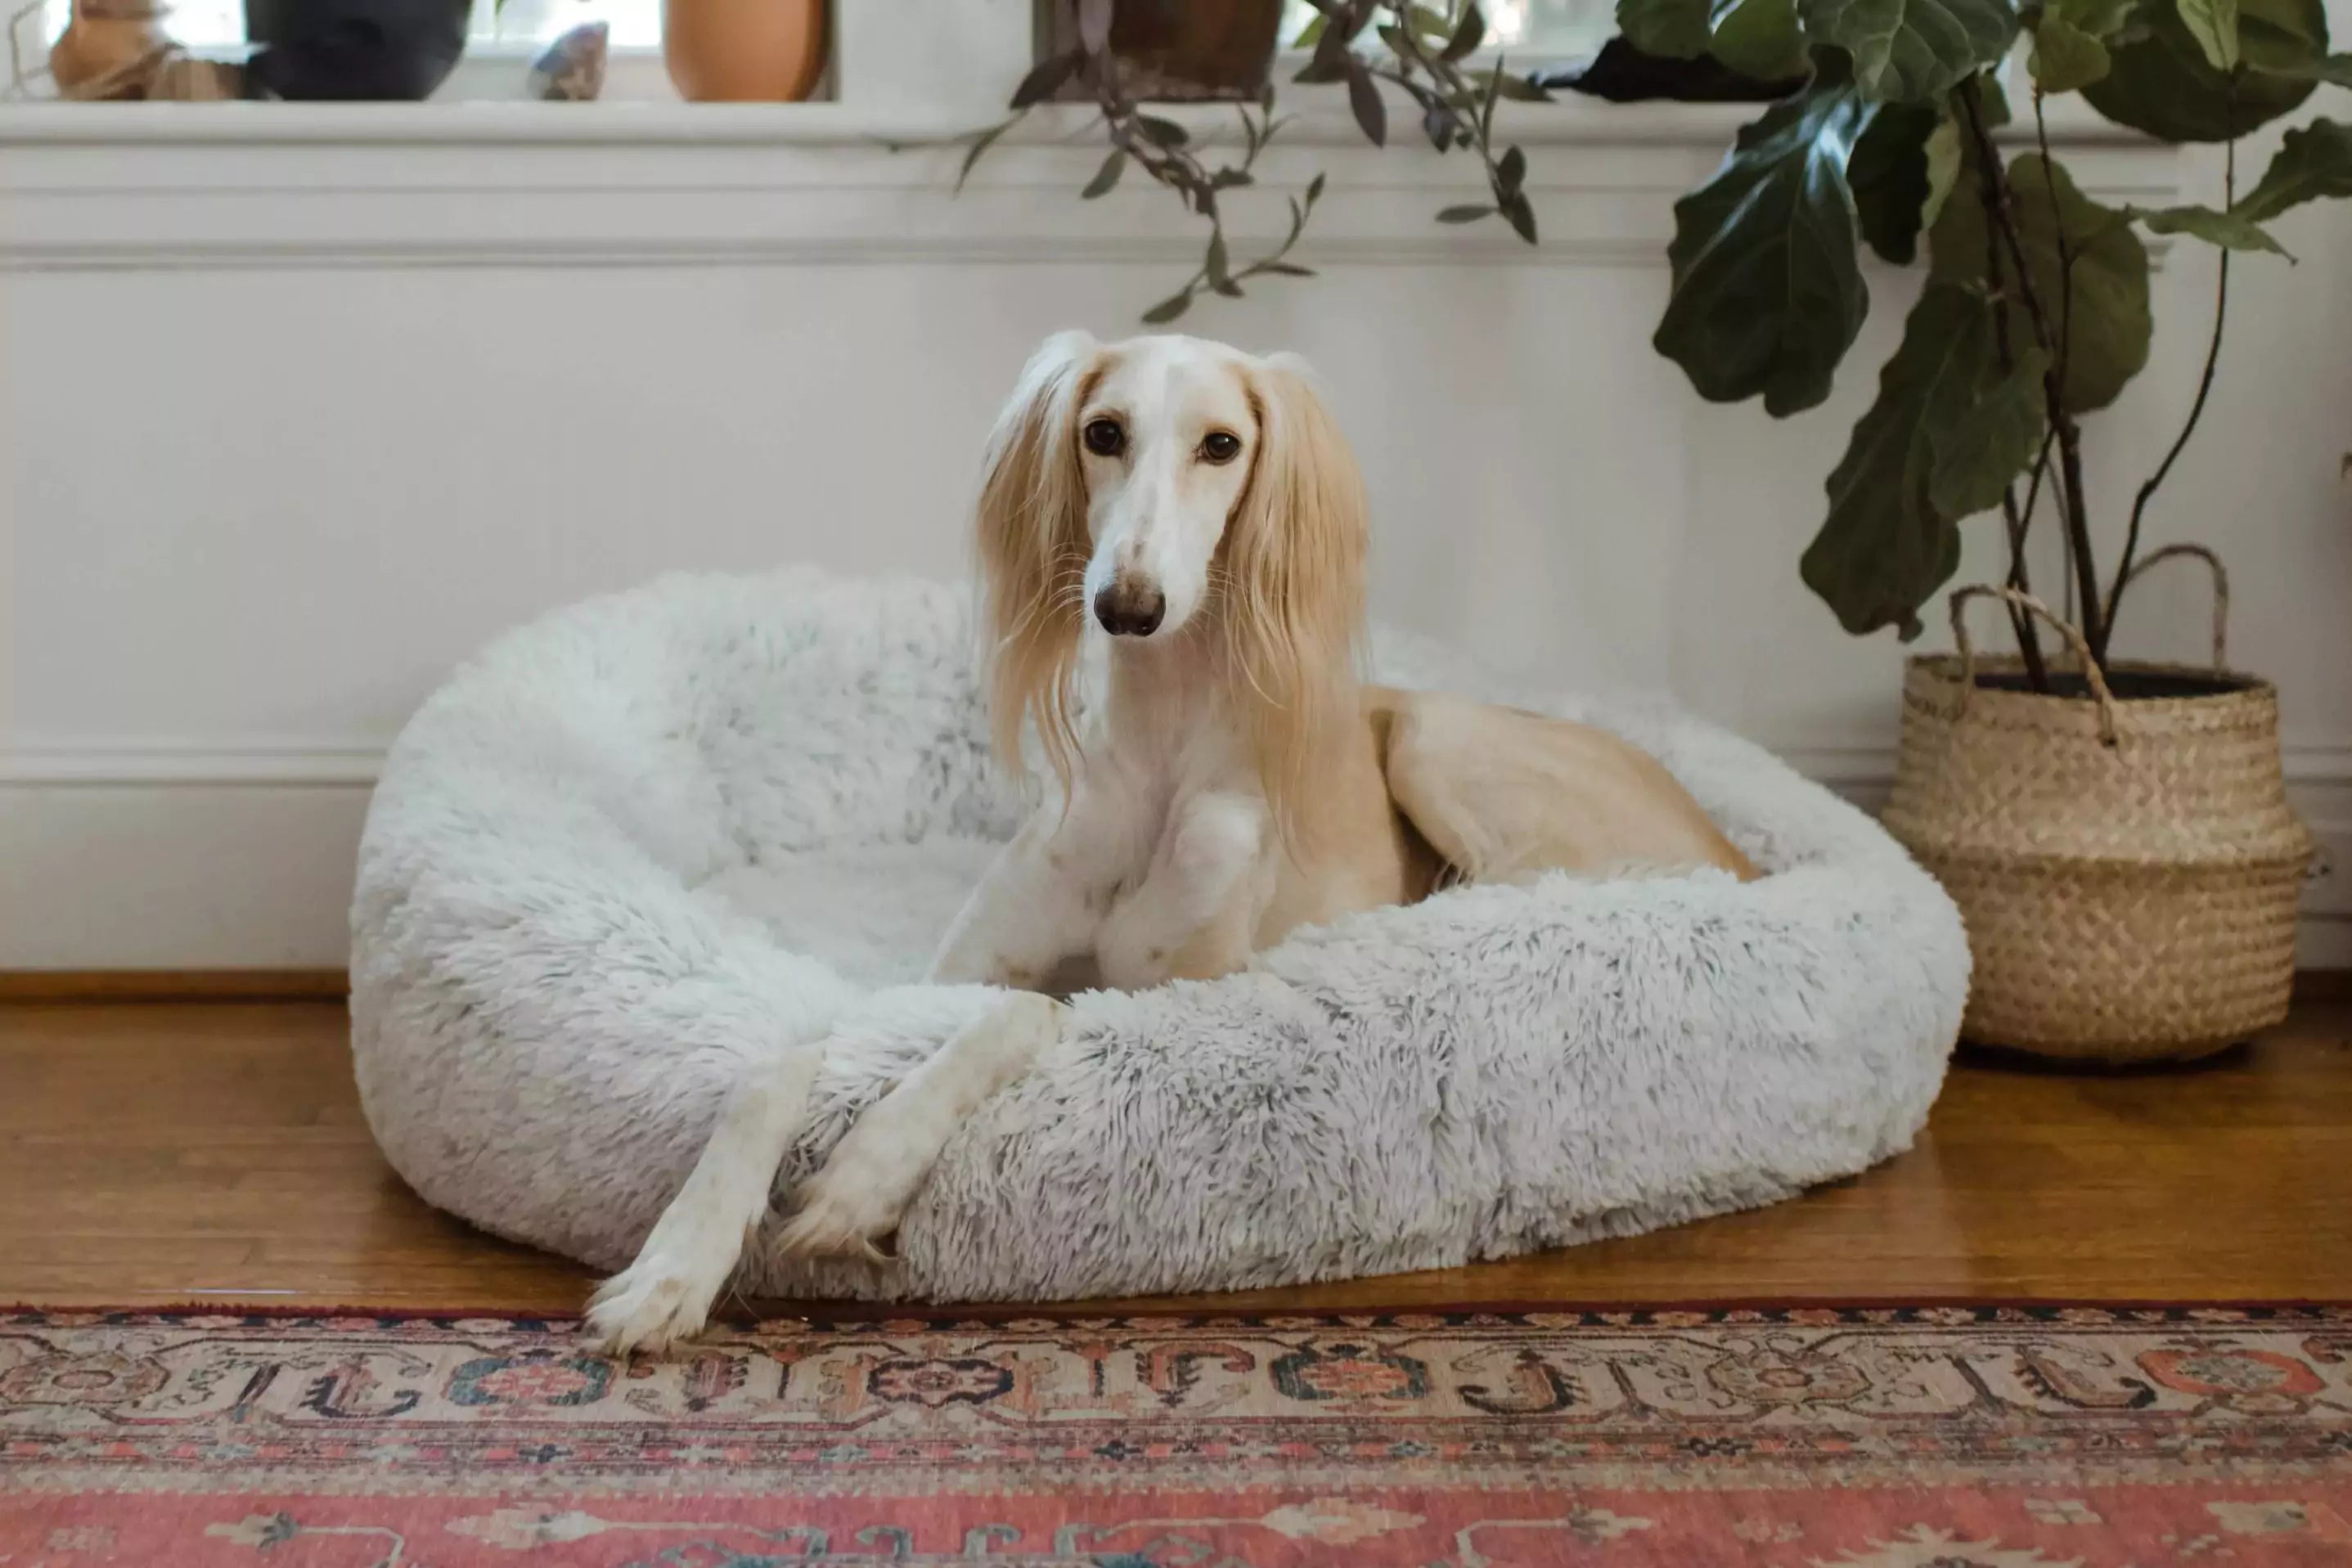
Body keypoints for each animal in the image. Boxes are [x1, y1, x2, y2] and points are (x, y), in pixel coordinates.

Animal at [587, 334, 1759, 1363]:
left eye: (1221, 445)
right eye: (1102, 432)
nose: (1129, 604)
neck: (1157, 758)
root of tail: (1739, 850)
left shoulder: (1170, 1001)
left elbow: (1022, 1014)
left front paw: (862, 1177)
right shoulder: (939, 976)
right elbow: (781, 1060)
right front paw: (672, 1268)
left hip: (1439, 741)